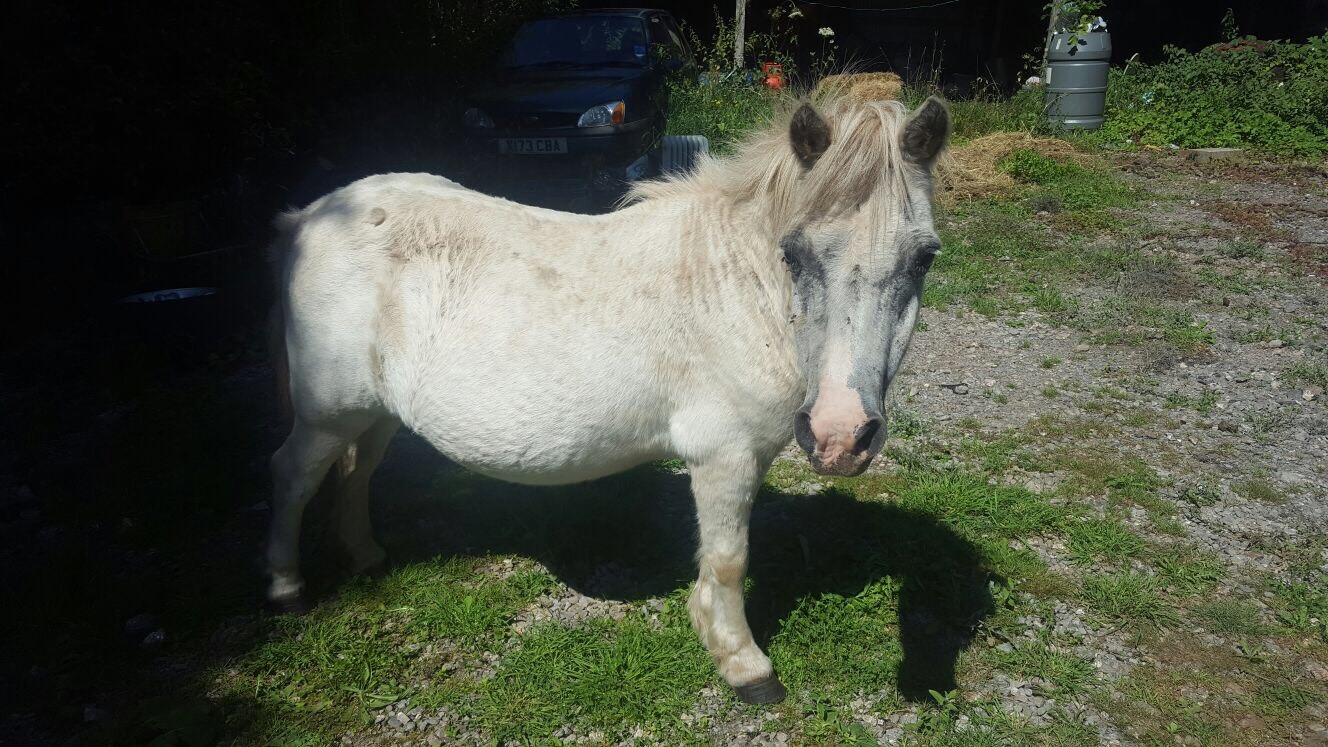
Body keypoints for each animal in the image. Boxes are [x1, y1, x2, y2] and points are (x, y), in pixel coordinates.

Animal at [266, 93, 951, 704]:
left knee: (356, 473)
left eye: (923, 259)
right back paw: (286, 589)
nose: (841, 434)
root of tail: (309, 217)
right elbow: (728, 561)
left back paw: (366, 558)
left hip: (372, 412)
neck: (736, 287)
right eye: (795, 252)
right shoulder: (724, 455)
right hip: (327, 414)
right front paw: (745, 667)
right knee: (293, 477)